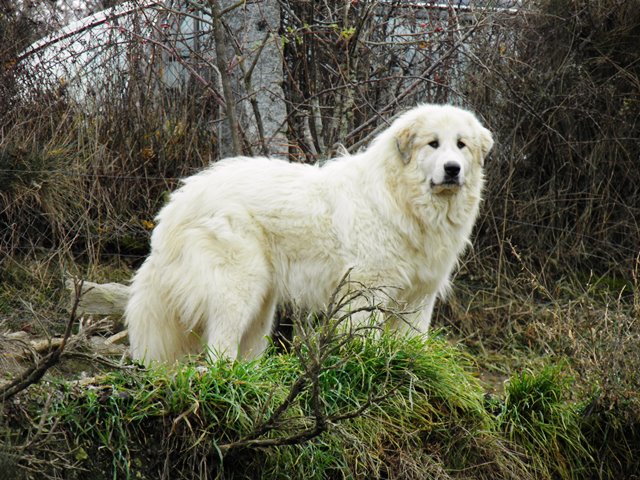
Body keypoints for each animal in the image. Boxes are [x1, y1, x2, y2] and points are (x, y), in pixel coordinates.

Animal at [126, 103, 496, 362]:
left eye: (461, 145)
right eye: (433, 144)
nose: (452, 169)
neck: (402, 201)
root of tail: (180, 200)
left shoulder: (419, 295)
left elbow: (411, 341)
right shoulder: (366, 292)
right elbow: (365, 339)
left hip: (262, 306)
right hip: (237, 288)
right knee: (220, 346)